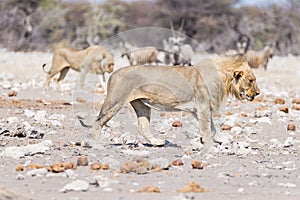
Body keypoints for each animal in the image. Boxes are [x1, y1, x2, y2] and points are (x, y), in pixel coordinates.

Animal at [80, 54, 260, 152]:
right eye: (251, 80)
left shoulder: (199, 109)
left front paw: (215, 140)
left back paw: (157, 142)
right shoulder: (202, 106)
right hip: (116, 101)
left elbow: (213, 128)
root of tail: (113, 73)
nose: (258, 93)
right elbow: (207, 128)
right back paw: (98, 143)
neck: (223, 79)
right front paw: (209, 145)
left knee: (143, 126)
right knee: (97, 121)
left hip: (141, 104)